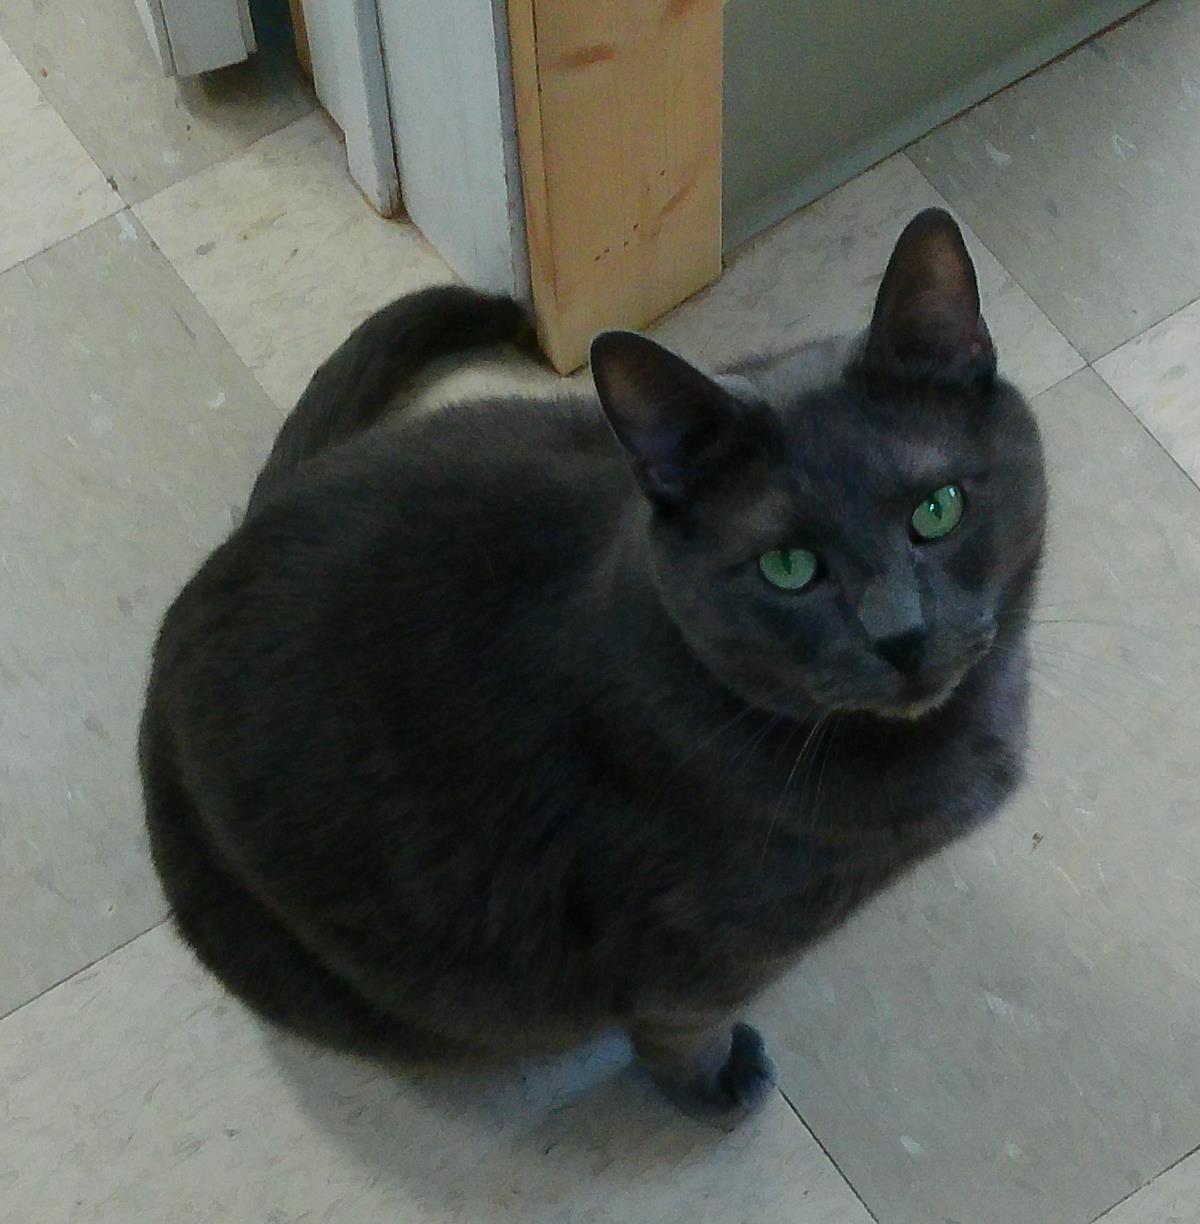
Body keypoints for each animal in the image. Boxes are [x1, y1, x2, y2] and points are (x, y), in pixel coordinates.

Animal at [138, 208, 1038, 1121]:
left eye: (938, 510)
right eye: (789, 567)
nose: (903, 635)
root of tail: (223, 555)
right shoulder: (692, 959)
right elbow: (681, 1028)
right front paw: (717, 1085)